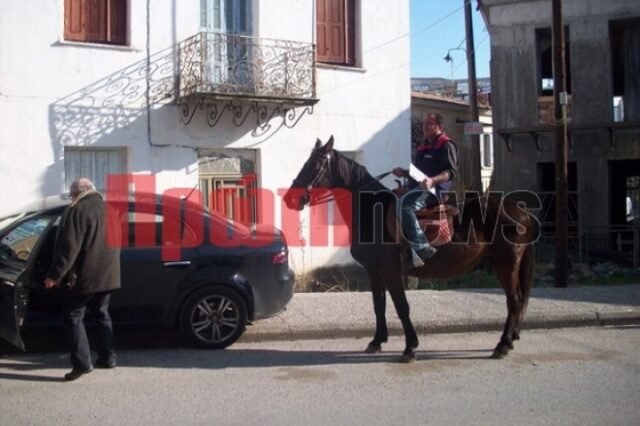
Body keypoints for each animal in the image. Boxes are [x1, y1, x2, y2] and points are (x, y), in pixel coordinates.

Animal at [282, 137, 536, 362]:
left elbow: (402, 306)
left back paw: (502, 345)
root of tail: (521, 211)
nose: (289, 199)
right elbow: (379, 305)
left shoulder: (391, 270)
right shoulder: (374, 271)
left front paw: (410, 348)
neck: (372, 212)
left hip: (507, 263)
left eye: (314, 164)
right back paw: (510, 340)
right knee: (517, 300)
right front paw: (376, 341)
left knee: (514, 300)